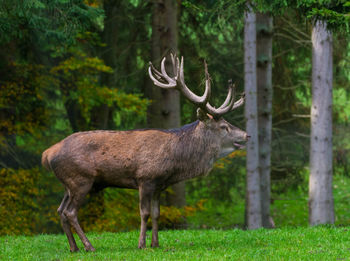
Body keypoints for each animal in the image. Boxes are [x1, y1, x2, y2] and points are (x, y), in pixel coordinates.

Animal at [41, 53, 247, 251]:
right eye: (223, 127)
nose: (246, 135)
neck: (175, 162)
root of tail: (48, 153)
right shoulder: (145, 178)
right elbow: (144, 213)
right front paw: (141, 244)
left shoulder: (159, 184)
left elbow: (156, 214)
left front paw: (155, 243)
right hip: (81, 179)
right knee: (70, 212)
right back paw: (89, 246)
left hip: (68, 184)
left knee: (60, 210)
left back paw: (74, 247)